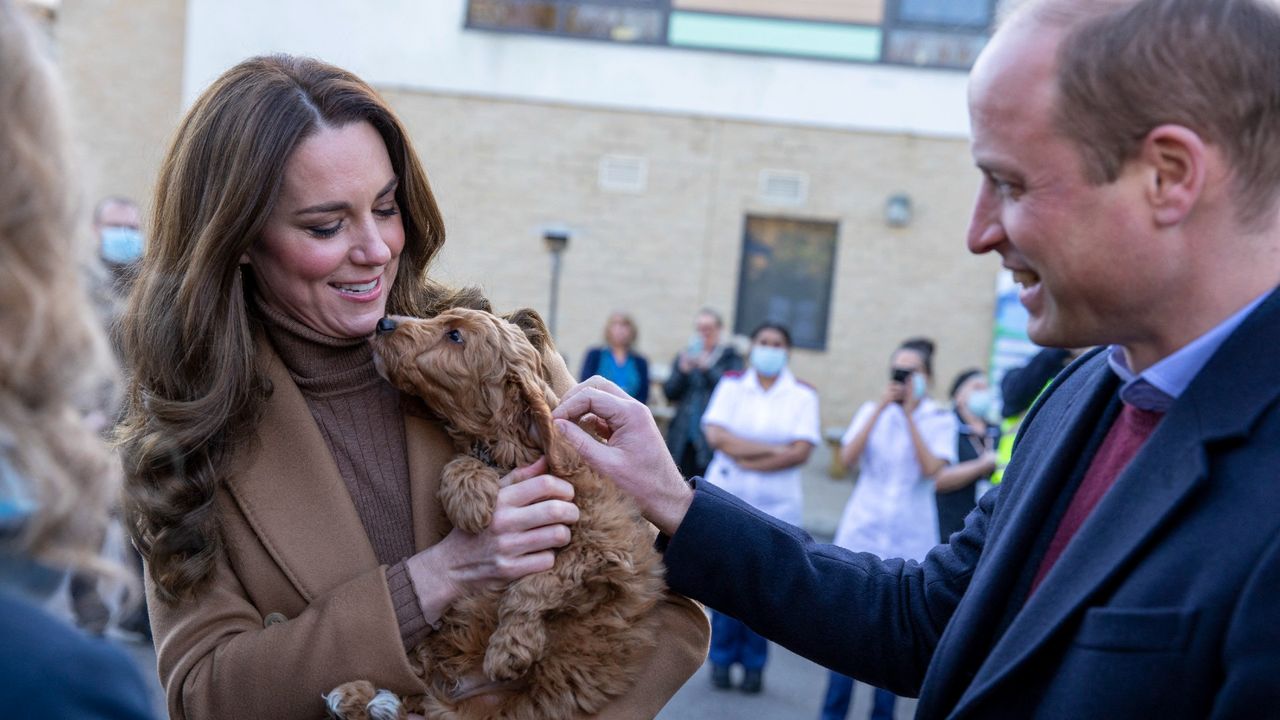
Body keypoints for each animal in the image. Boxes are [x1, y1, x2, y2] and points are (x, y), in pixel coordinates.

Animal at [327, 307, 670, 717]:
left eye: (455, 336)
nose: (383, 324)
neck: (508, 451)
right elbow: (459, 465)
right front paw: (471, 498)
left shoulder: (605, 550)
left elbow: (538, 580)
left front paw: (509, 648)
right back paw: (356, 695)